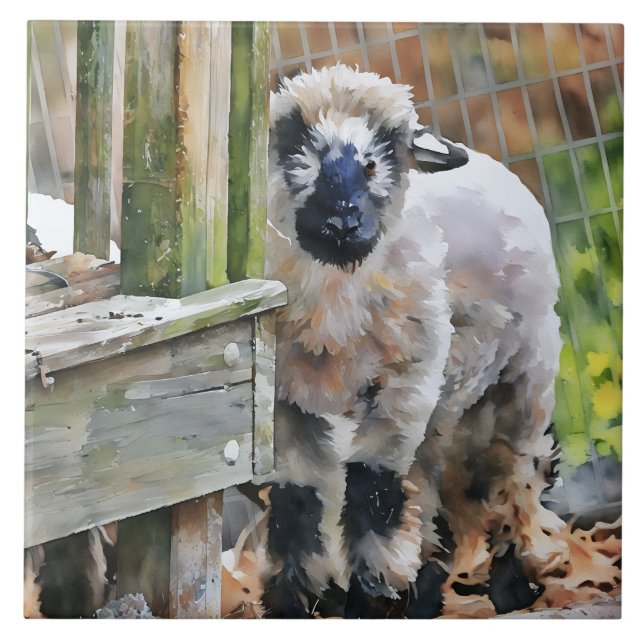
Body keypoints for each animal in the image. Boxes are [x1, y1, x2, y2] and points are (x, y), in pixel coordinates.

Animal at [261, 64, 615, 618]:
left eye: (373, 163)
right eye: (302, 156)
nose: (342, 222)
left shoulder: (404, 385)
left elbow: (374, 490)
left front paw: (370, 599)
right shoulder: (289, 399)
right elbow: (299, 498)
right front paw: (291, 603)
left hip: (523, 378)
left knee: (514, 476)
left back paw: (512, 585)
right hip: (449, 402)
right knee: (438, 492)